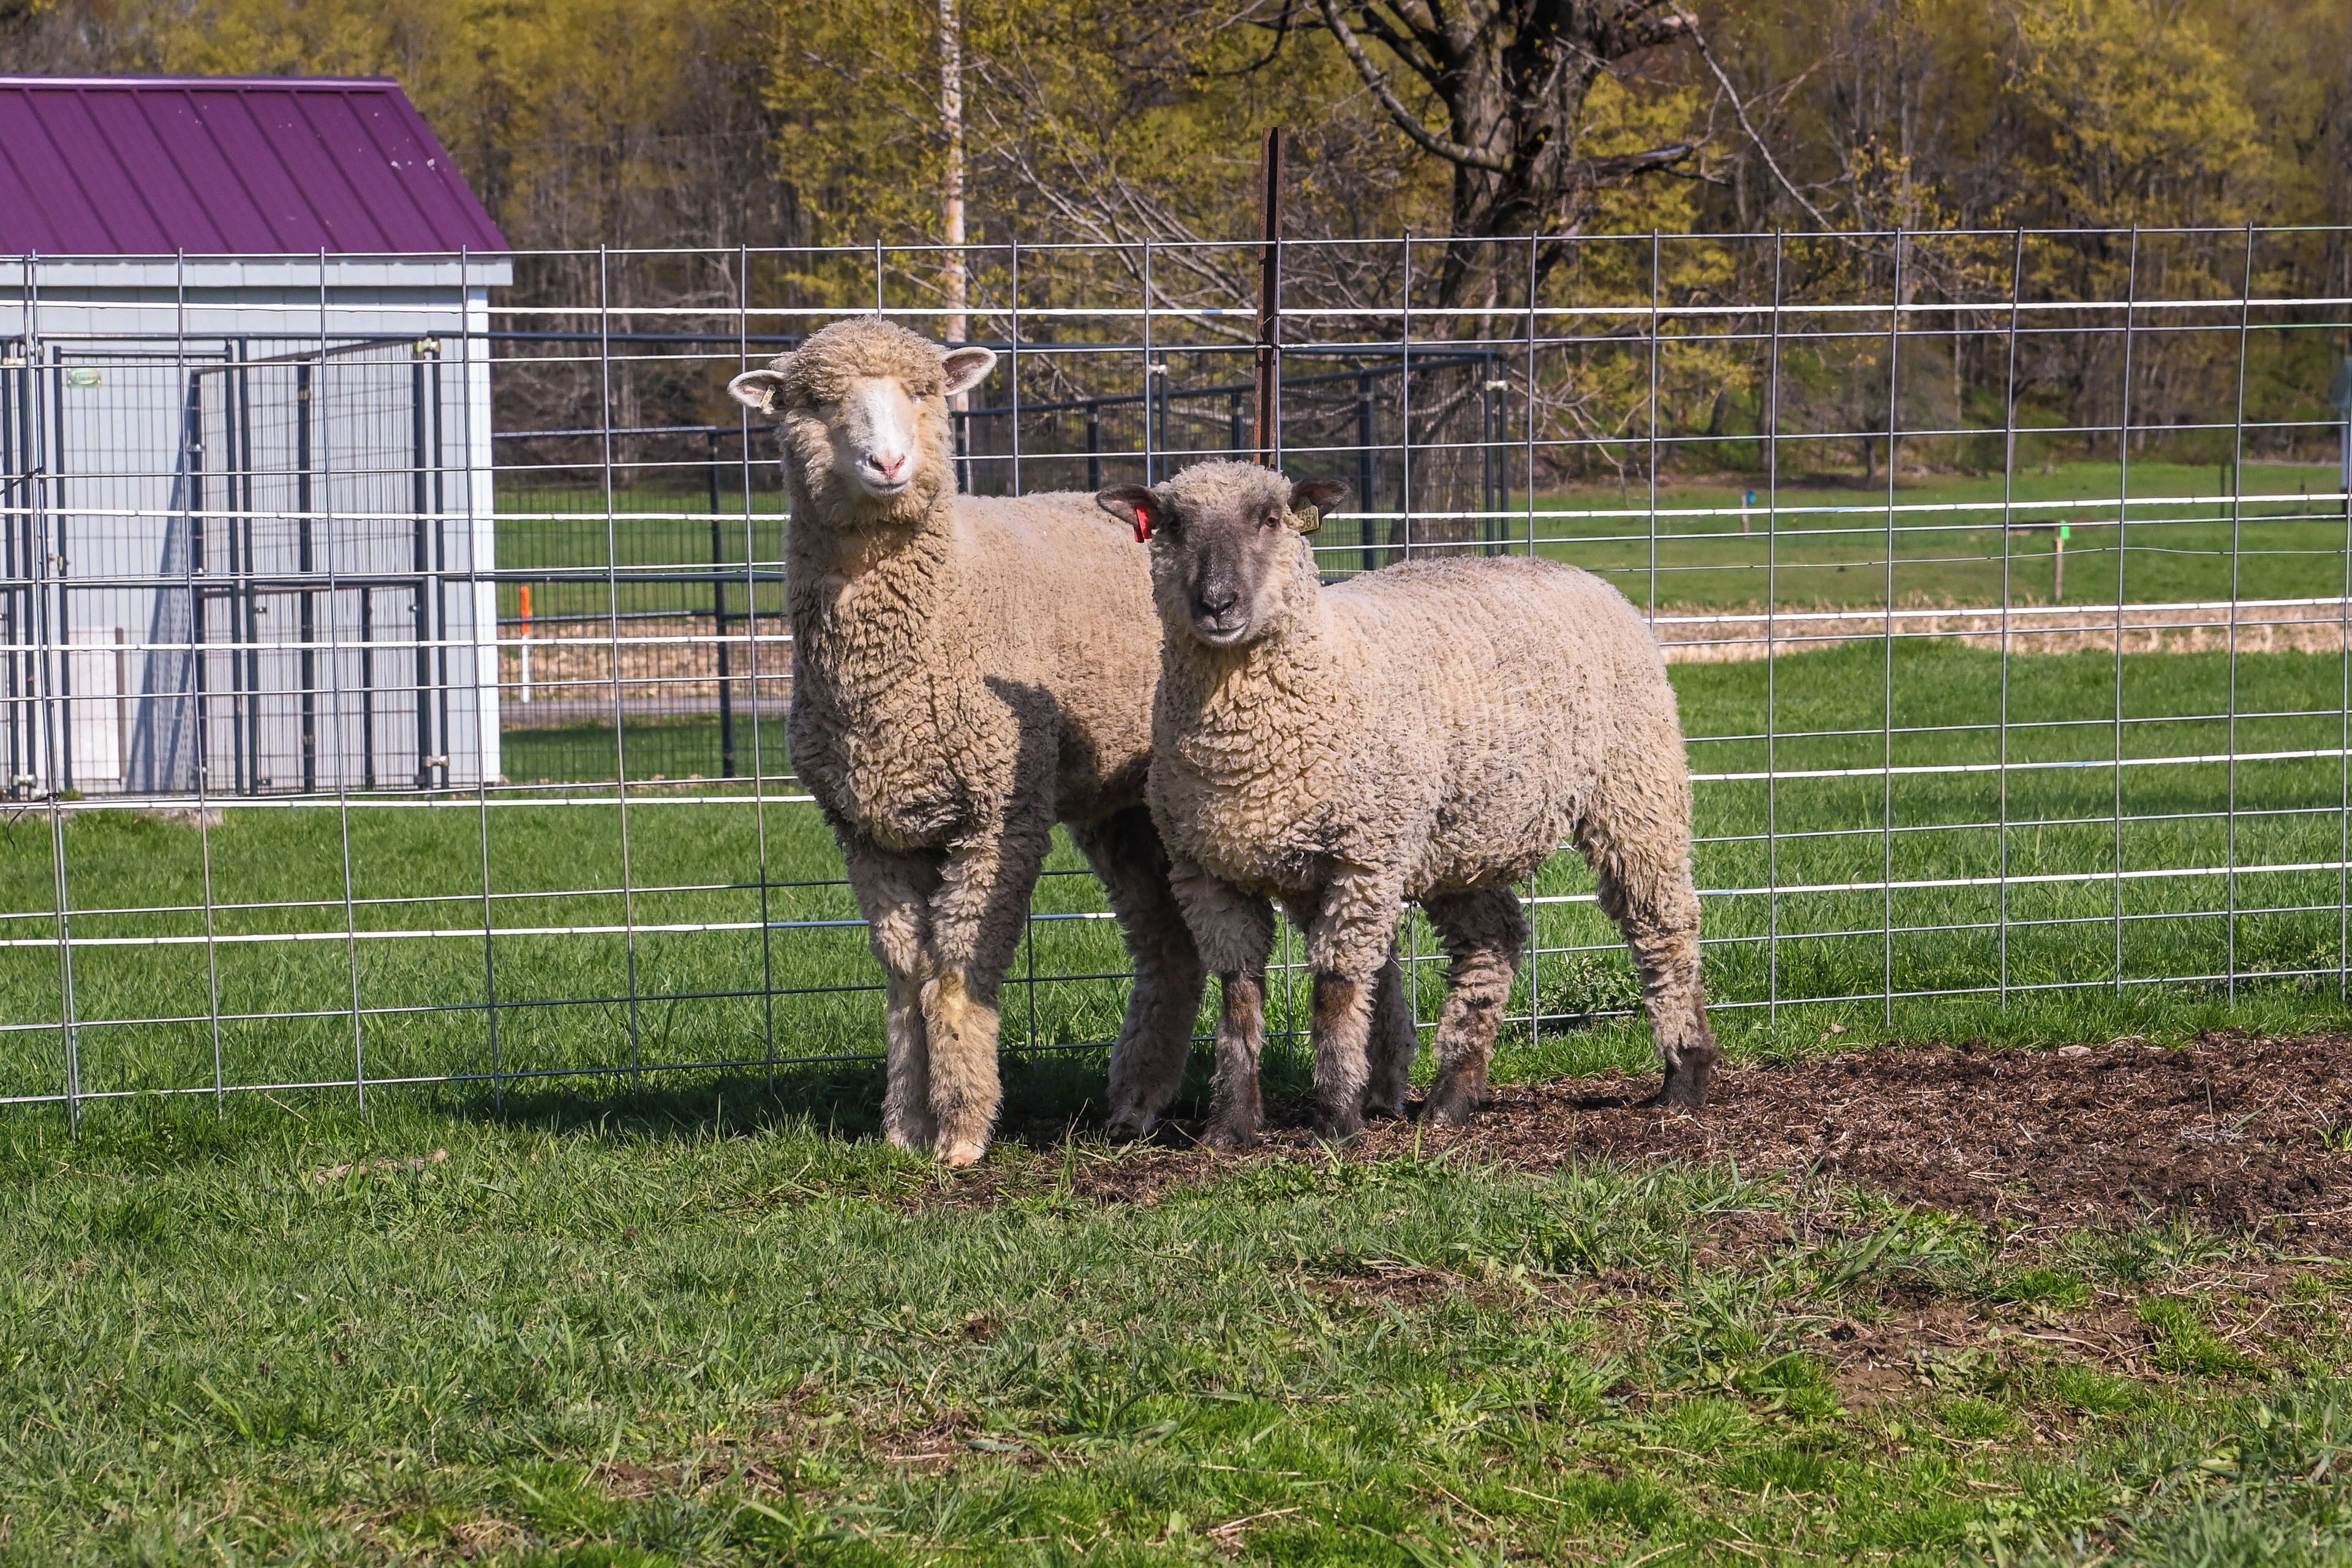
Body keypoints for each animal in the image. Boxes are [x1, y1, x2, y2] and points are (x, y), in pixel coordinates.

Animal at [723, 317, 1226, 1165]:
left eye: (925, 391)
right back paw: (1134, 1104)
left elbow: (958, 974)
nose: (889, 463)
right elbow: (905, 977)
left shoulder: (999, 816)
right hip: (1120, 806)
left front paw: (959, 1134)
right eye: (817, 401)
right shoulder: (869, 828)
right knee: (1169, 947)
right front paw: (904, 1128)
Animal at [1096, 460, 1718, 1150]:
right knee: (1493, 939)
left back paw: (1684, 1077)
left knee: (1661, 922)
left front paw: (1337, 1122)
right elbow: (1239, 997)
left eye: (1271, 518)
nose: (1217, 603)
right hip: (1465, 832)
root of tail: (1578, 573)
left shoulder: (1363, 859)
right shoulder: (1208, 873)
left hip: (1635, 787)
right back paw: (1452, 1096)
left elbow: (1337, 991)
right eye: (1172, 525)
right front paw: (1231, 1129)